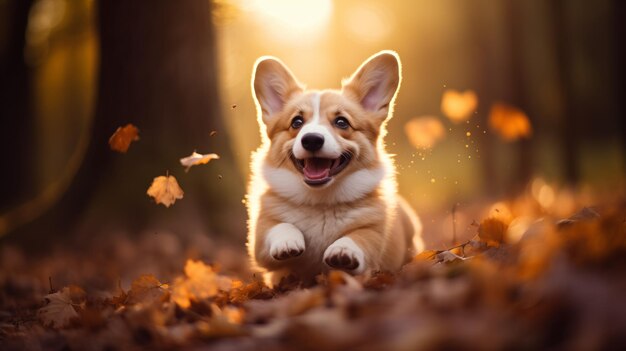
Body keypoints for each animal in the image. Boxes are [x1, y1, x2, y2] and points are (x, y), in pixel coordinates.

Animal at [244, 50, 424, 286]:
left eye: (341, 122)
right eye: (296, 122)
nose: (311, 140)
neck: (321, 202)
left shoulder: (373, 233)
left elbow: (359, 237)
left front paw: (343, 250)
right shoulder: (260, 240)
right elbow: (280, 226)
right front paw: (287, 242)